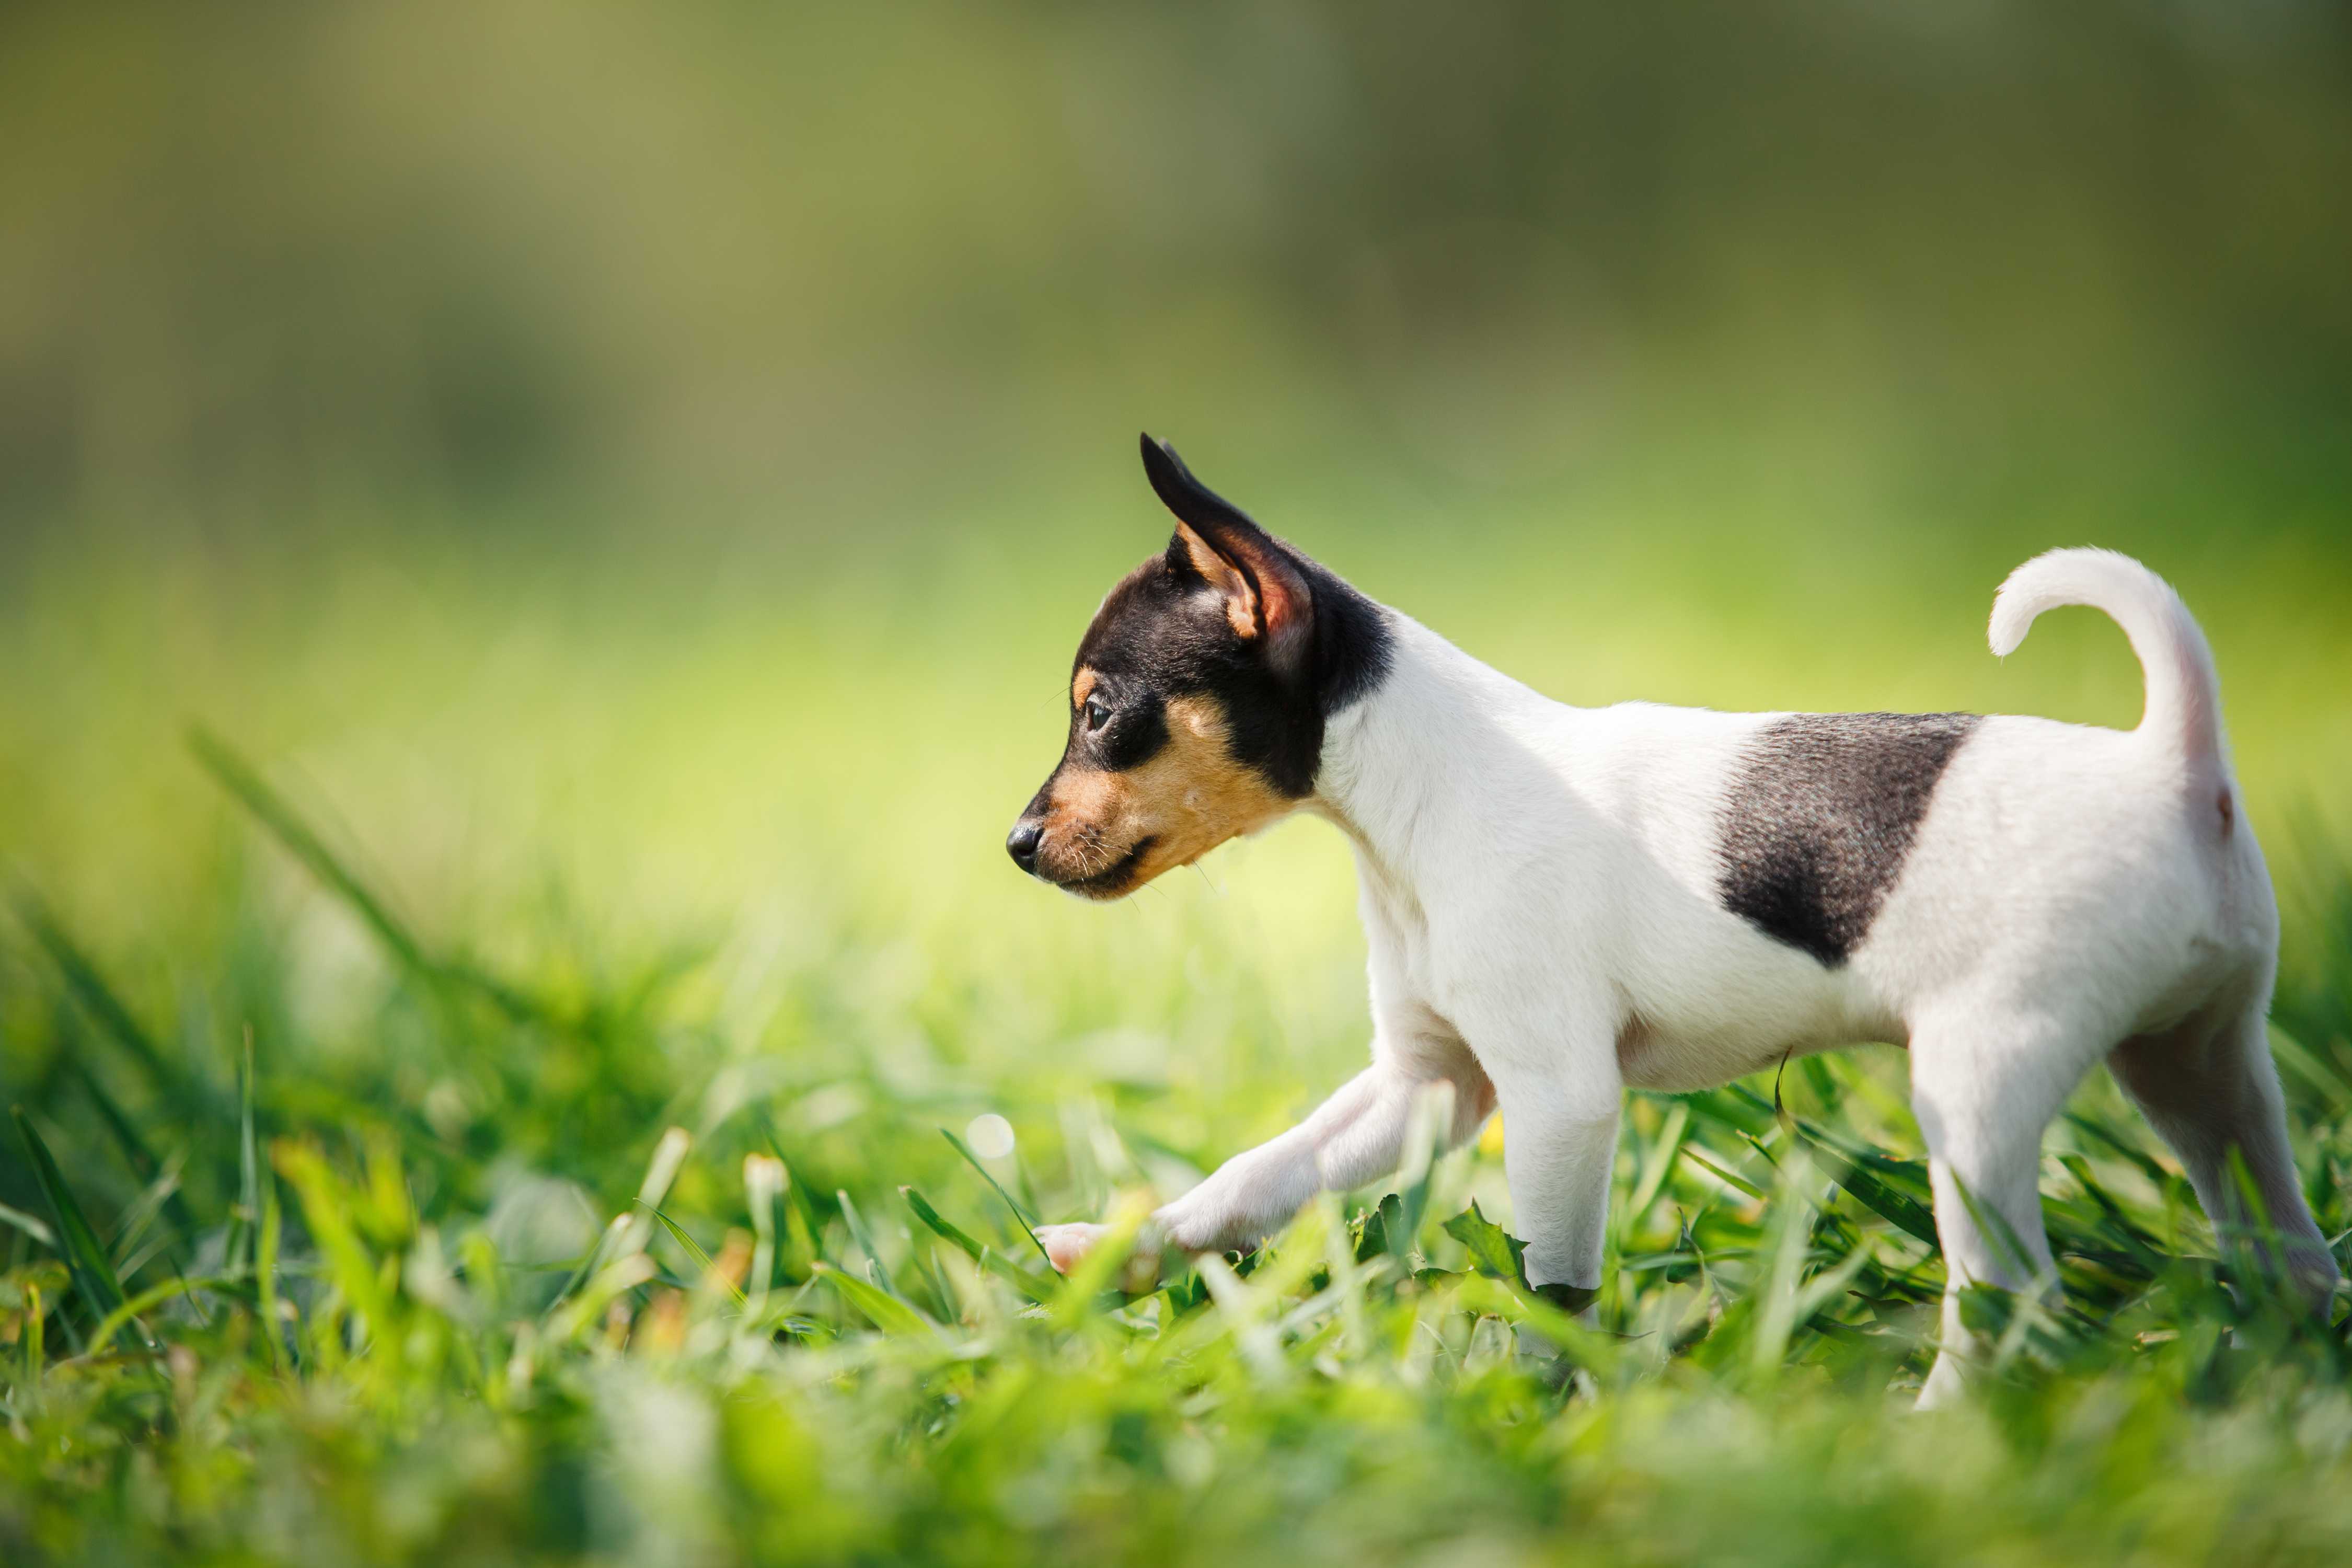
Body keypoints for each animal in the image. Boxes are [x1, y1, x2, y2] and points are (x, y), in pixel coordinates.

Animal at [1007, 435, 2333, 1401]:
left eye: (1101, 713)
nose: (1016, 845)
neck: (1419, 791)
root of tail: (2175, 763)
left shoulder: (1556, 1101)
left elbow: (1552, 1285)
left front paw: (1540, 1407)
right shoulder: (1423, 1089)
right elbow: (1257, 1177)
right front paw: (1117, 1255)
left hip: (1981, 1091)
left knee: (2013, 1295)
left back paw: (1938, 1427)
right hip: (2200, 1070)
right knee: (2288, 1241)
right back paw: (2283, 1357)